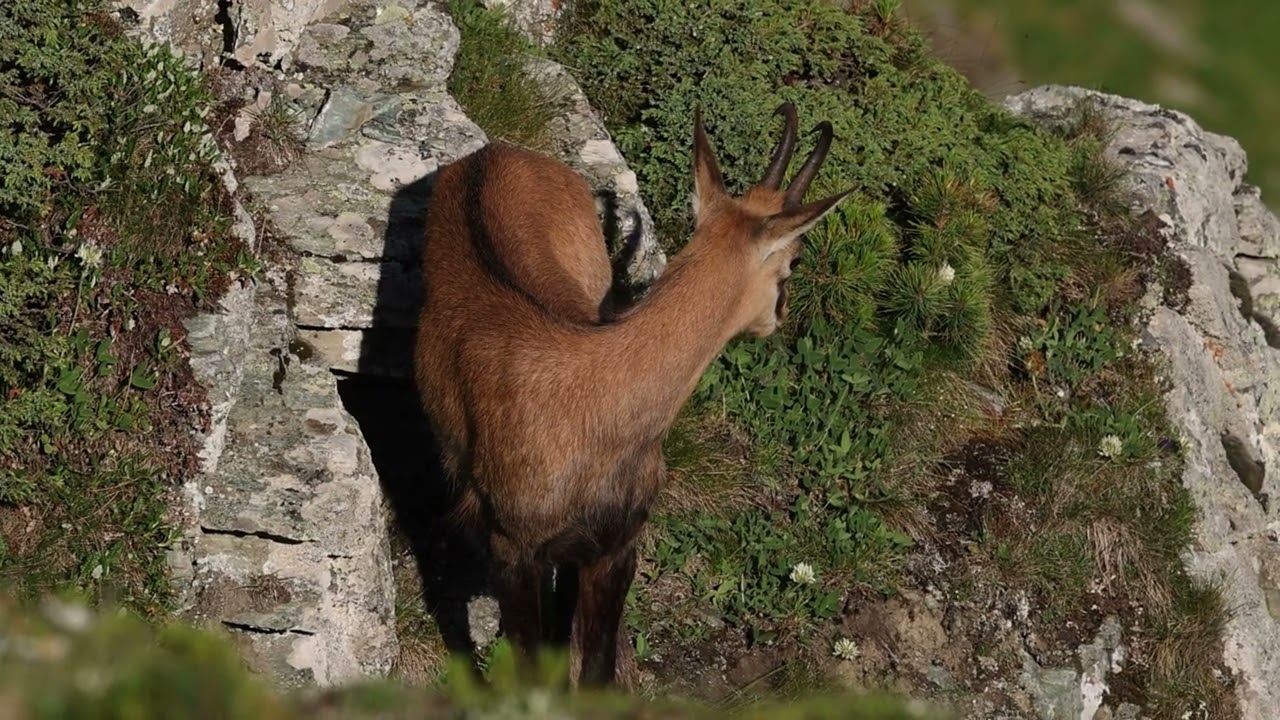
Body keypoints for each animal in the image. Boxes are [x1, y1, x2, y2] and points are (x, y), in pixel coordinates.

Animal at [414, 103, 852, 687]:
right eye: (795, 260)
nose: (778, 316)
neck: (599, 397)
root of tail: (493, 153)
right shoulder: (513, 548)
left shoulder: (616, 543)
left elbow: (594, 670)